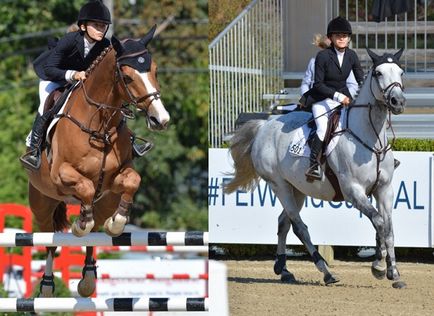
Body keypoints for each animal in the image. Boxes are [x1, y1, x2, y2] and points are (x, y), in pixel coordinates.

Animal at [23, 26, 170, 296]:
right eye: (127, 77)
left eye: (154, 71)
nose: (160, 119)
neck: (100, 125)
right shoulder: (61, 174)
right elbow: (86, 188)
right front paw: (80, 223)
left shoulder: (118, 176)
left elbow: (132, 181)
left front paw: (117, 223)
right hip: (42, 203)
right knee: (50, 239)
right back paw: (47, 287)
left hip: (107, 201)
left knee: (94, 232)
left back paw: (88, 280)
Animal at [227, 48, 406, 288]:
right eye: (378, 73)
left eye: (400, 72)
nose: (398, 101)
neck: (371, 139)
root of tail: (265, 125)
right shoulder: (354, 191)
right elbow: (378, 221)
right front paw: (378, 266)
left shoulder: (384, 189)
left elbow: (388, 227)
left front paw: (393, 272)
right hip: (279, 186)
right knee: (299, 227)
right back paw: (326, 272)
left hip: (297, 189)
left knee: (283, 222)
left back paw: (283, 269)